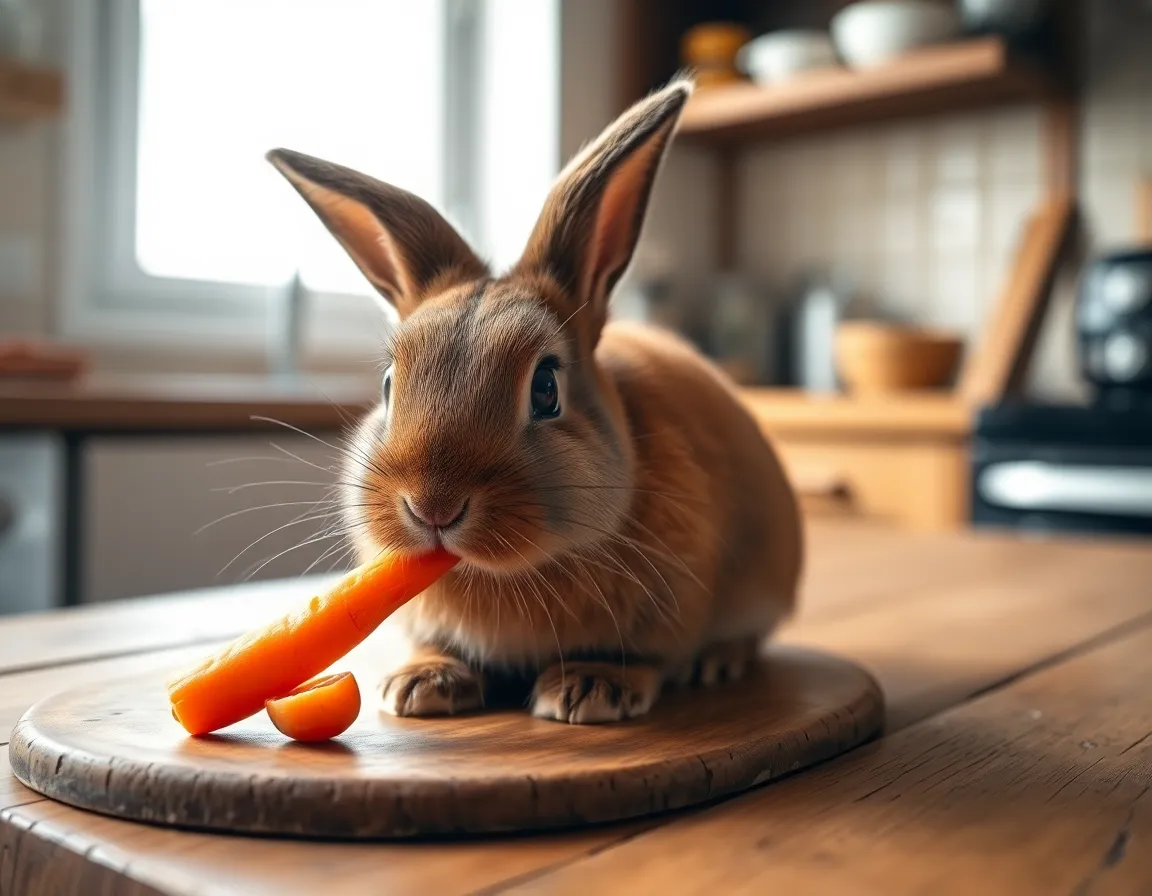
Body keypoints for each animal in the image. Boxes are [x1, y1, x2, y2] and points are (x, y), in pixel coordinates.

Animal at [266, 75, 803, 724]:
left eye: (546, 389)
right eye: (390, 385)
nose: (433, 508)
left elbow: (638, 656)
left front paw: (589, 691)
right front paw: (422, 684)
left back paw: (718, 661)